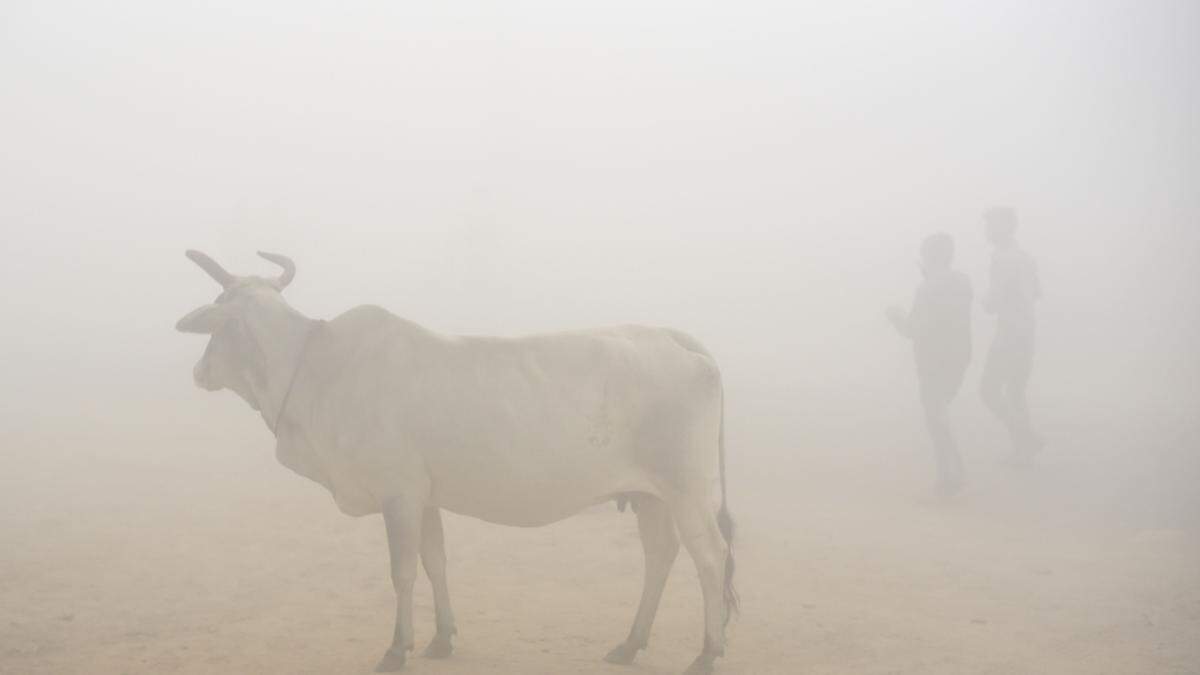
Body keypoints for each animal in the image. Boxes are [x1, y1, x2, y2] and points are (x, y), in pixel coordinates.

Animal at [174, 249, 734, 667]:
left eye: (219, 310)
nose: (198, 372)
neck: (314, 365)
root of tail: (676, 339)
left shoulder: (398, 494)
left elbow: (402, 571)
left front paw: (396, 648)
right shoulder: (424, 497)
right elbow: (435, 562)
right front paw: (442, 638)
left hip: (686, 489)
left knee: (711, 557)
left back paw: (707, 652)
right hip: (650, 494)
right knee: (660, 555)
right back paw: (630, 643)